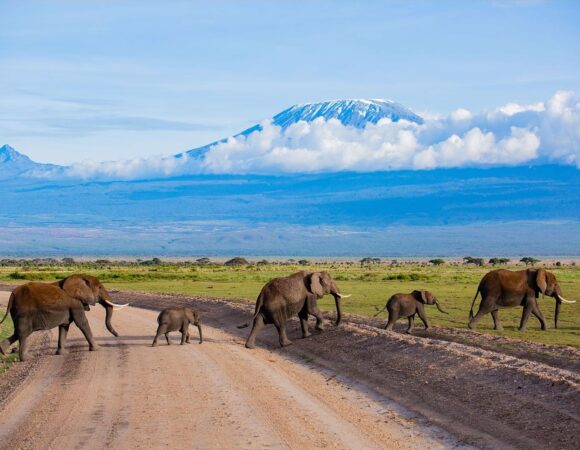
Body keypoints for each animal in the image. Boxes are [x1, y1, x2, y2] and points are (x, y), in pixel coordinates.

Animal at [0, 274, 128, 362]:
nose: (118, 336)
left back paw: (3, 351)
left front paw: (62, 354)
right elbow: (82, 322)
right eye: (100, 287)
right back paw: (26, 358)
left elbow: (64, 326)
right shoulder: (75, 303)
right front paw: (98, 349)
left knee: (18, 332)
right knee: (24, 332)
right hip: (24, 311)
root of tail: (12, 295)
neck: (81, 277)